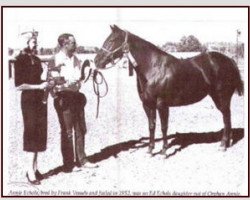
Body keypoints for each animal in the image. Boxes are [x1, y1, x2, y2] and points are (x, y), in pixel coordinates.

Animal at [94, 25, 242, 153]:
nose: (96, 61)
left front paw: (164, 151)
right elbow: (152, 126)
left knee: (226, 117)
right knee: (227, 117)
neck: (153, 68)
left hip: (222, 96)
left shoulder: (162, 104)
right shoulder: (147, 104)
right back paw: (227, 143)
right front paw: (150, 150)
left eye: (112, 40)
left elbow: (164, 127)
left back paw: (223, 145)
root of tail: (230, 60)